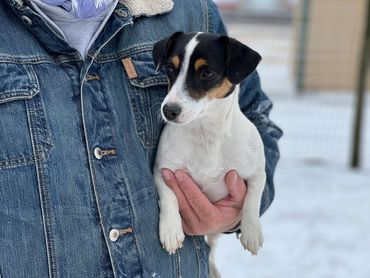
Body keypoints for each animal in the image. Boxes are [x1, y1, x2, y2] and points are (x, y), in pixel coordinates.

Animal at [152, 32, 266, 276]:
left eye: (207, 73)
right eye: (170, 69)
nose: (168, 110)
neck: (205, 134)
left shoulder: (257, 172)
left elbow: (252, 199)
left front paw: (251, 233)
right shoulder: (162, 171)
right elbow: (168, 197)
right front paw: (171, 230)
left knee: (211, 249)